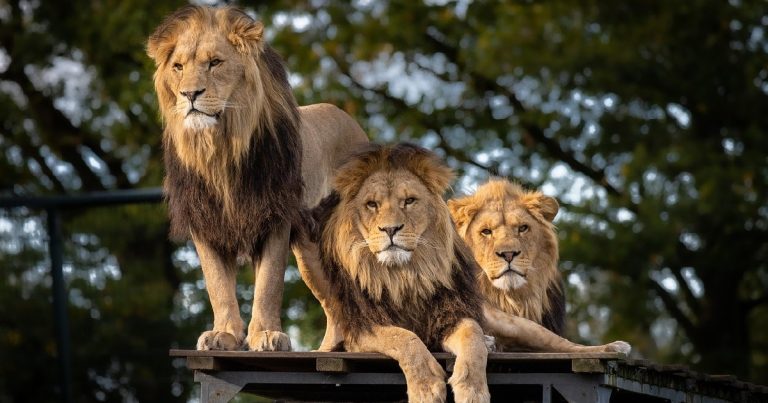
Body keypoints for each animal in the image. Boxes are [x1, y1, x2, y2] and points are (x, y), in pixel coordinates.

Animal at [146, 5, 368, 351]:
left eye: (215, 62)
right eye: (178, 67)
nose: (189, 94)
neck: (220, 150)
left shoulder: (275, 215)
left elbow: (269, 283)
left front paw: (266, 334)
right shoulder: (204, 221)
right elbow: (217, 285)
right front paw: (223, 334)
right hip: (311, 252)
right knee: (335, 305)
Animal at [306, 143, 490, 403]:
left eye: (409, 201)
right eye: (372, 204)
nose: (390, 229)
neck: (403, 277)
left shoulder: (449, 315)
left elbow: (473, 335)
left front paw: (473, 389)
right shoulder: (362, 327)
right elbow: (404, 338)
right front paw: (425, 388)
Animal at [449, 179, 630, 353]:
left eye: (523, 228)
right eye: (486, 231)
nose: (509, 254)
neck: (510, 299)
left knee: (563, 343)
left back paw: (614, 347)